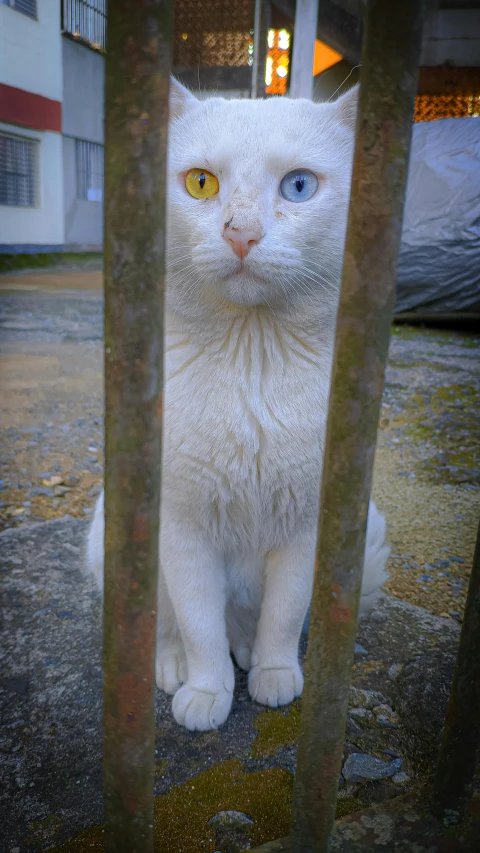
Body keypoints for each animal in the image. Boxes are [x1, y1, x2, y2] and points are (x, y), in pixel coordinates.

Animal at [87, 78, 390, 732]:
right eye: (201, 182)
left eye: (298, 185)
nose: (241, 233)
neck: (252, 361)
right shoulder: (182, 530)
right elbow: (199, 624)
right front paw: (206, 692)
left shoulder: (307, 529)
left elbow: (284, 614)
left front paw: (275, 674)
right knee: (169, 627)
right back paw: (175, 666)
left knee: (249, 623)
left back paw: (250, 653)